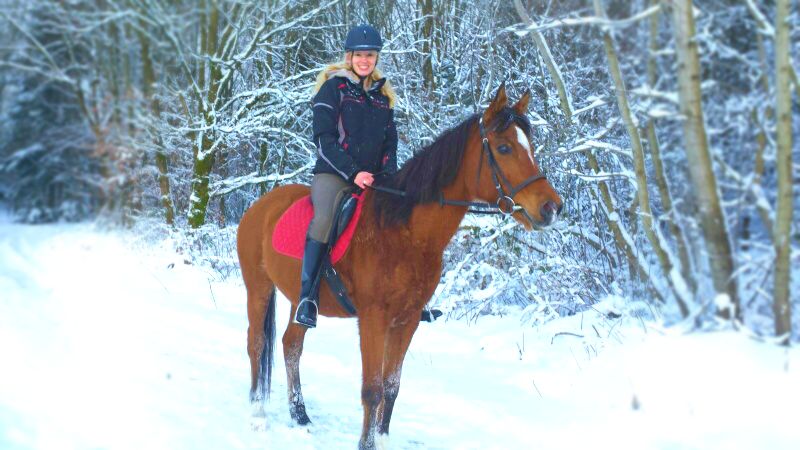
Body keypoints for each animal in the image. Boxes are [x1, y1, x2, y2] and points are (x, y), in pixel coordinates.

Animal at [237, 84, 562, 449]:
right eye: (504, 148)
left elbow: (392, 386)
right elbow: (372, 389)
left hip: (300, 299)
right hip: (258, 287)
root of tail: (260, 205)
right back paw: (257, 411)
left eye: (529, 146)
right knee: (256, 343)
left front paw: (382, 437)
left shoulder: (407, 320)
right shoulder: (373, 319)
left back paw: (300, 414)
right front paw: (367, 443)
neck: (406, 233)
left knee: (291, 345)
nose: (552, 207)